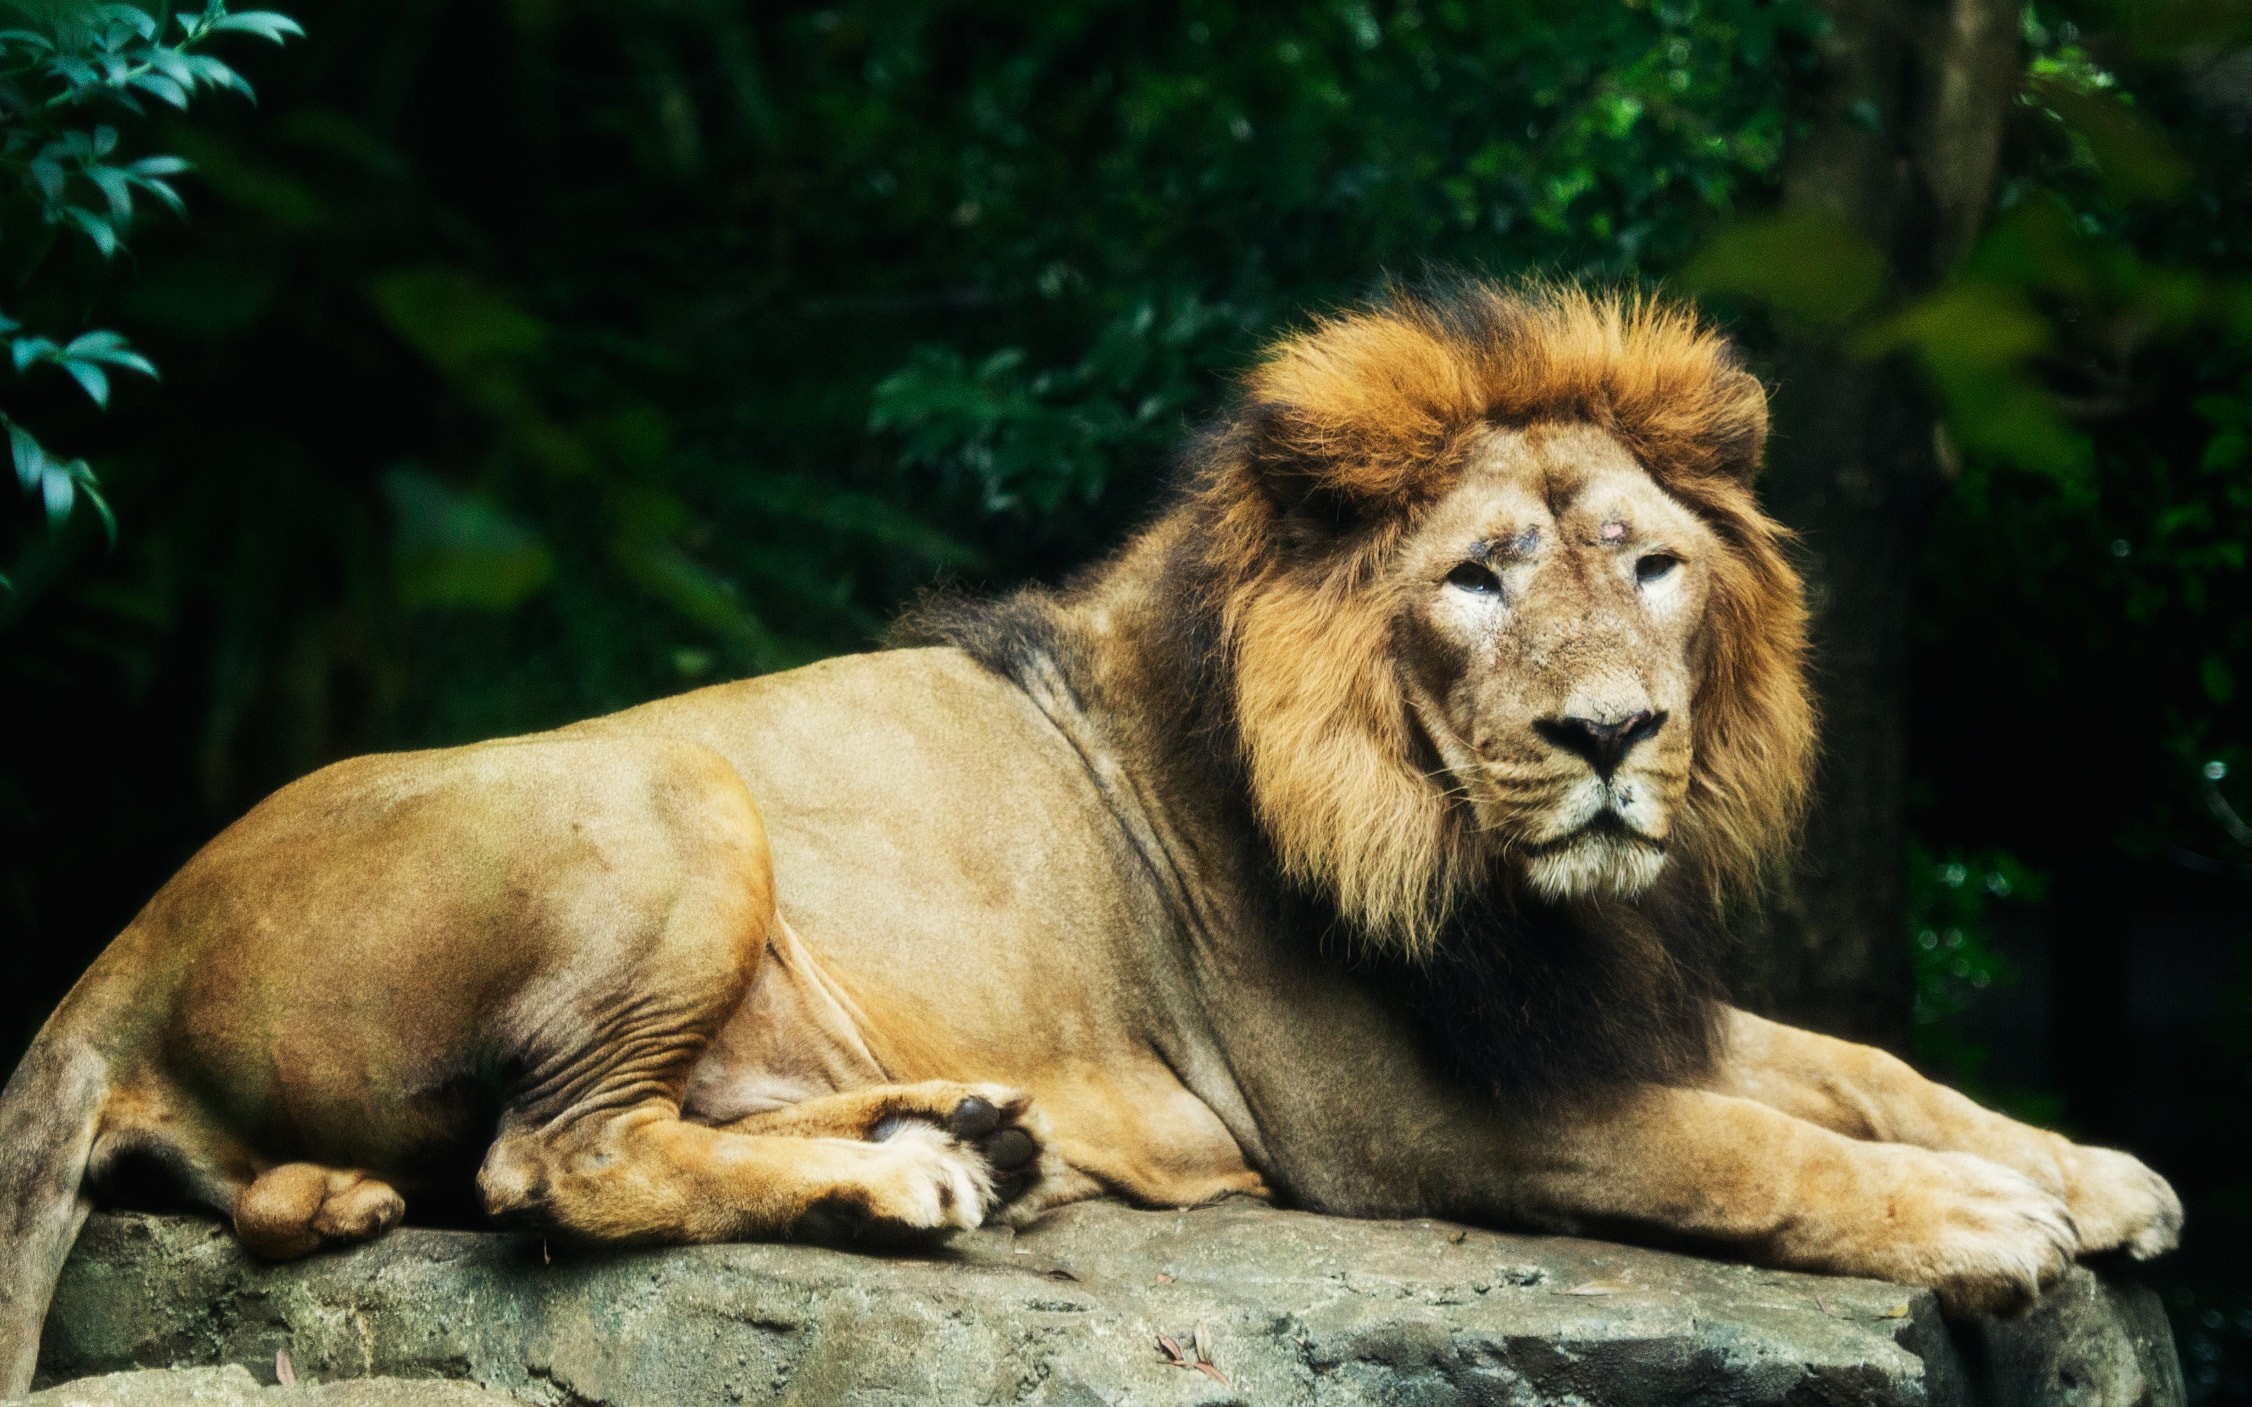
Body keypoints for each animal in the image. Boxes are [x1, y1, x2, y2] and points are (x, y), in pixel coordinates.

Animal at [0, 276, 2179, 1395]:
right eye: (1474, 577)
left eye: (1649, 564)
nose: (1612, 735)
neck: (1474, 862)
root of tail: (119, 945)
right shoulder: (1390, 1121)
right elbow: (1744, 1147)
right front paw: (1988, 1221)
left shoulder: (1588, 994)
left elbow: (1865, 1067)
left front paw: (2090, 1168)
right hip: (675, 791)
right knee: (554, 1160)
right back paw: (912, 1180)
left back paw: (961, 1128)